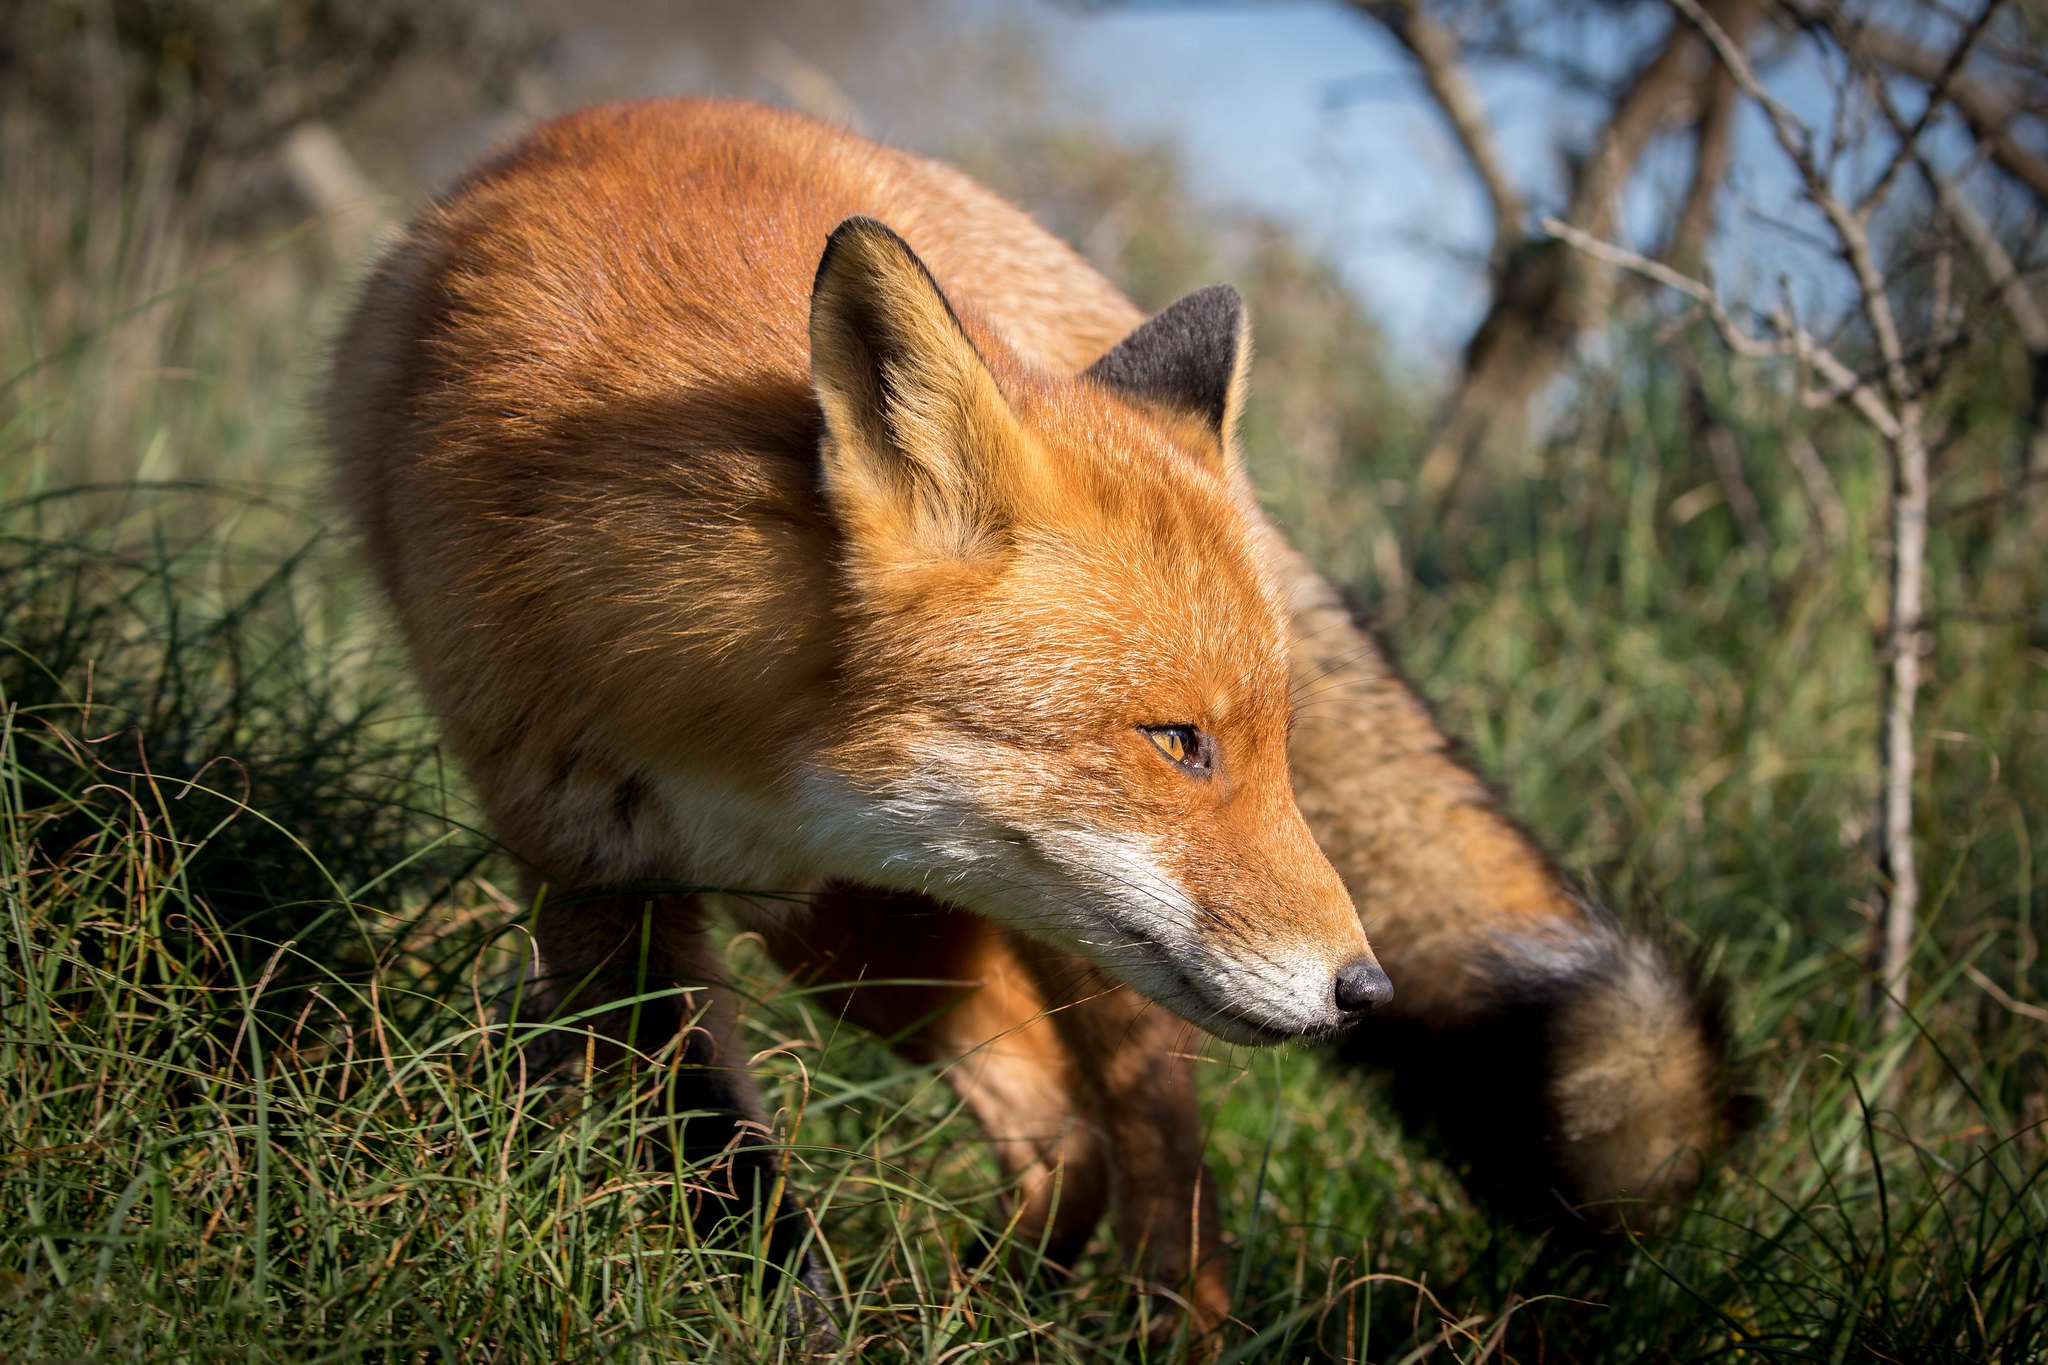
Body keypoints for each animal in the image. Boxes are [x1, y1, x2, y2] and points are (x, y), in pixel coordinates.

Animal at [331, 101, 1728, 1342]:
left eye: (1271, 745)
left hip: (1052, 956)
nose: (1364, 991)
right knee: (1059, 1136)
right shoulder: (601, 884)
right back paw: (973, 1309)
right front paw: (799, 1321)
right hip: (861, 947)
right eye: (1176, 742)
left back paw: (1149, 1331)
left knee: (1154, 1160)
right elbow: (738, 1194)